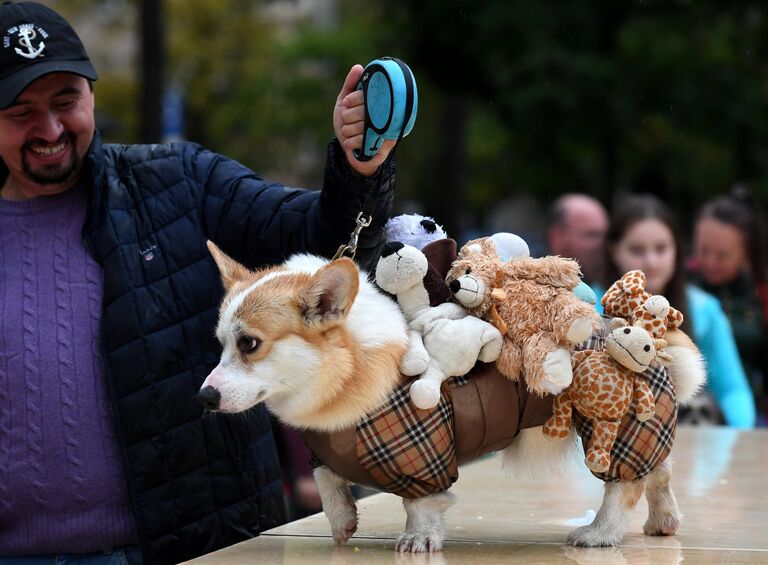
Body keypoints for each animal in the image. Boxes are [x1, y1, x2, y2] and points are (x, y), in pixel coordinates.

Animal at [201, 242, 704, 552]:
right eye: (221, 342)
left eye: (250, 344)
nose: (204, 397)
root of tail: (647, 335)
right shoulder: (322, 448)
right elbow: (327, 480)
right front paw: (342, 520)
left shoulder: (424, 454)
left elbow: (421, 504)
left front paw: (418, 540)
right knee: (658, 472)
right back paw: (664, 522)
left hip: (608, 422)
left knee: (625, 485)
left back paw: (599, 534)